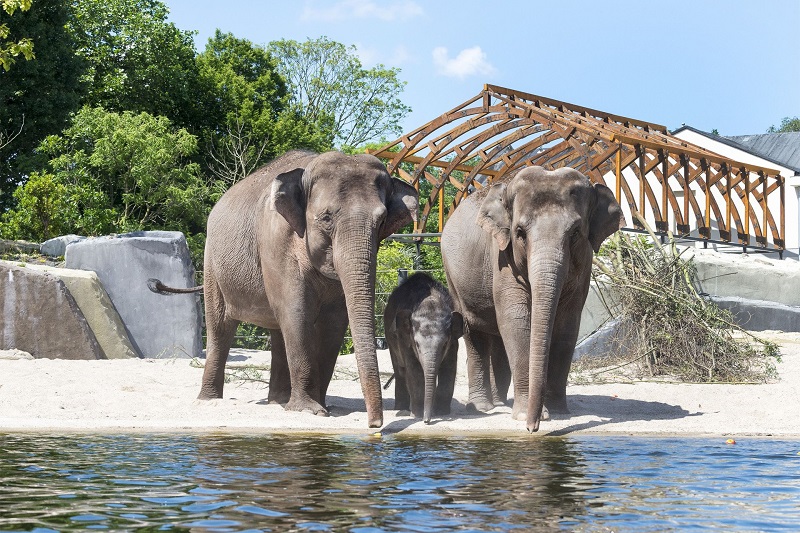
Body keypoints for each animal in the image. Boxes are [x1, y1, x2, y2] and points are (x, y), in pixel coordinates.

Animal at [157, 151, 418, 428]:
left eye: (382, 221)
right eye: (326, 218)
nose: (375, 425)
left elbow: (334, 321)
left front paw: (321, 407)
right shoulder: (276, 241)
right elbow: (296, 311)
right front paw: (309, 410)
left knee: (277, 330)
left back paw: (279, 402)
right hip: (212, 265)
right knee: (221, 327)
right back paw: (210, 400)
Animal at [384, 272, 466, 422]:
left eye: (444, 344)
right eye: (416, 344)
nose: (426, 421)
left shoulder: (453, 343)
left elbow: (449, 368)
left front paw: (441, 413)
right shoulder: (405, 339)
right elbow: (414, 371)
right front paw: (417, 415)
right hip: (390, 336)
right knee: (400, 370)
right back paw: (401, 408)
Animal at [440, 166, 620, 432]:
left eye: (576, 233)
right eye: (520, 233)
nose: (532, 428)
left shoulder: (584, 263)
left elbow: (567, 324)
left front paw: (559, 412)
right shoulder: (502, 256)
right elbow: (516, 320)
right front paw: (528, 414)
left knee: (498, 338)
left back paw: (500, 402)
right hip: (453, 277)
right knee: (474, 332)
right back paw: (482, 408)